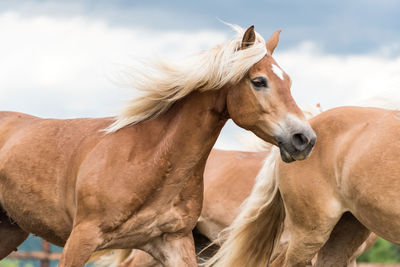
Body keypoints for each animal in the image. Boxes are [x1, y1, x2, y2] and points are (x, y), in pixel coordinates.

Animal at [0, 25, 316, 267]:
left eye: (288, 82)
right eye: (259, 81)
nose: (304, 138)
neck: (147, 159)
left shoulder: (173, 243)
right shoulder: (81, 238)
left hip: (10, 231)